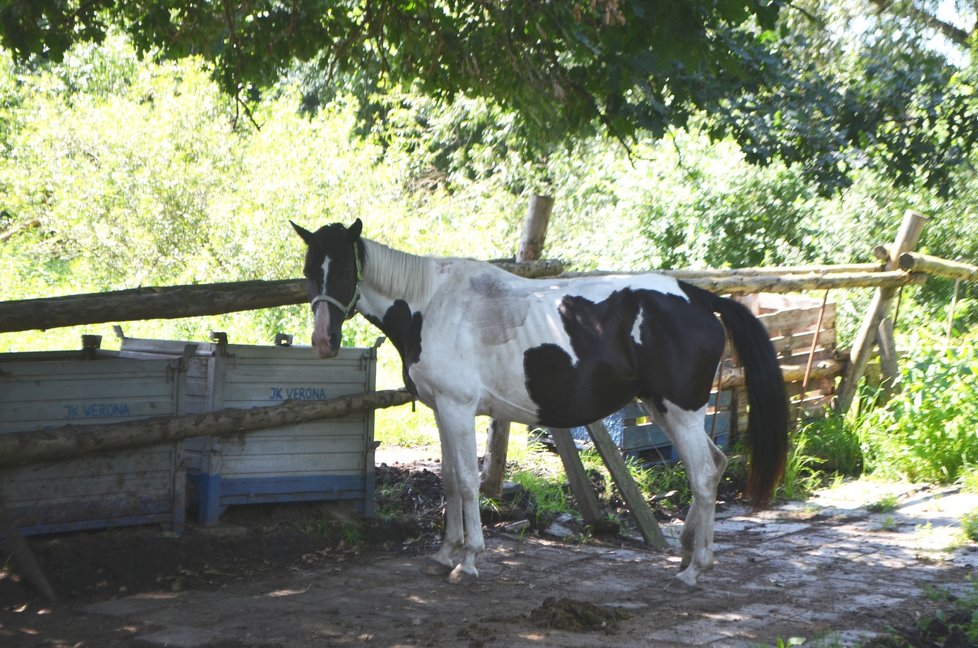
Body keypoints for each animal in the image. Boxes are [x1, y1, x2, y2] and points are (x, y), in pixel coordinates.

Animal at [290, 218, 784, 588]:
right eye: (310, 270)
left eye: (346, 272)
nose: (323, 341)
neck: (431, 304)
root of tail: (697, 296)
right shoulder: (442, 411)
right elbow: (449, 481)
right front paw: (444, 553)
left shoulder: (457, 408)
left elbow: (466, 483)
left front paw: (468, 559)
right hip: (663, 409)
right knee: (716, 465)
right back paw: (687, 556)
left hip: (681, 412)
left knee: (702, 476)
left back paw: (694, 570)